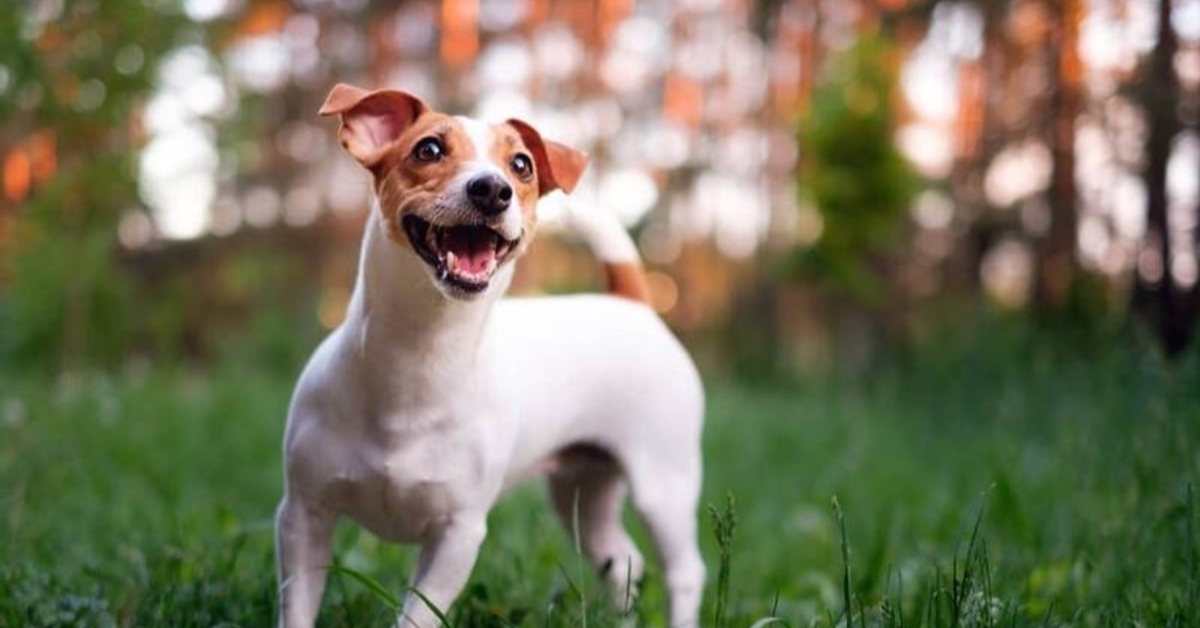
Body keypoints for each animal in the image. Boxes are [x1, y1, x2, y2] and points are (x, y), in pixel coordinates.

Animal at [274, 83, 700, 628]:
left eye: (521, 165)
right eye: (428, 149)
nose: (493, 189)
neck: (417, 355)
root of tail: (633, 303)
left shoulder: (457, 535)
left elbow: (417, 615)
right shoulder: (303, 516)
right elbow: (298, 606)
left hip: (664, 487)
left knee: (685, 572)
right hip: (584, 491)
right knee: (622, 560)